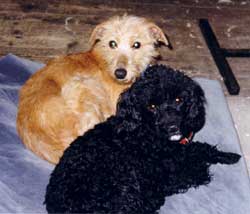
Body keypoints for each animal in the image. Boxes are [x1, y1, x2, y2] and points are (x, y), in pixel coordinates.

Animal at [45, 65, 240, 214]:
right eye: (151, 106)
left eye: (179, 99)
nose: (172, 127)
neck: (144, 134)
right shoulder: (172, 173)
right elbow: (197, 166)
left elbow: (202, 148)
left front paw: (228, 156)